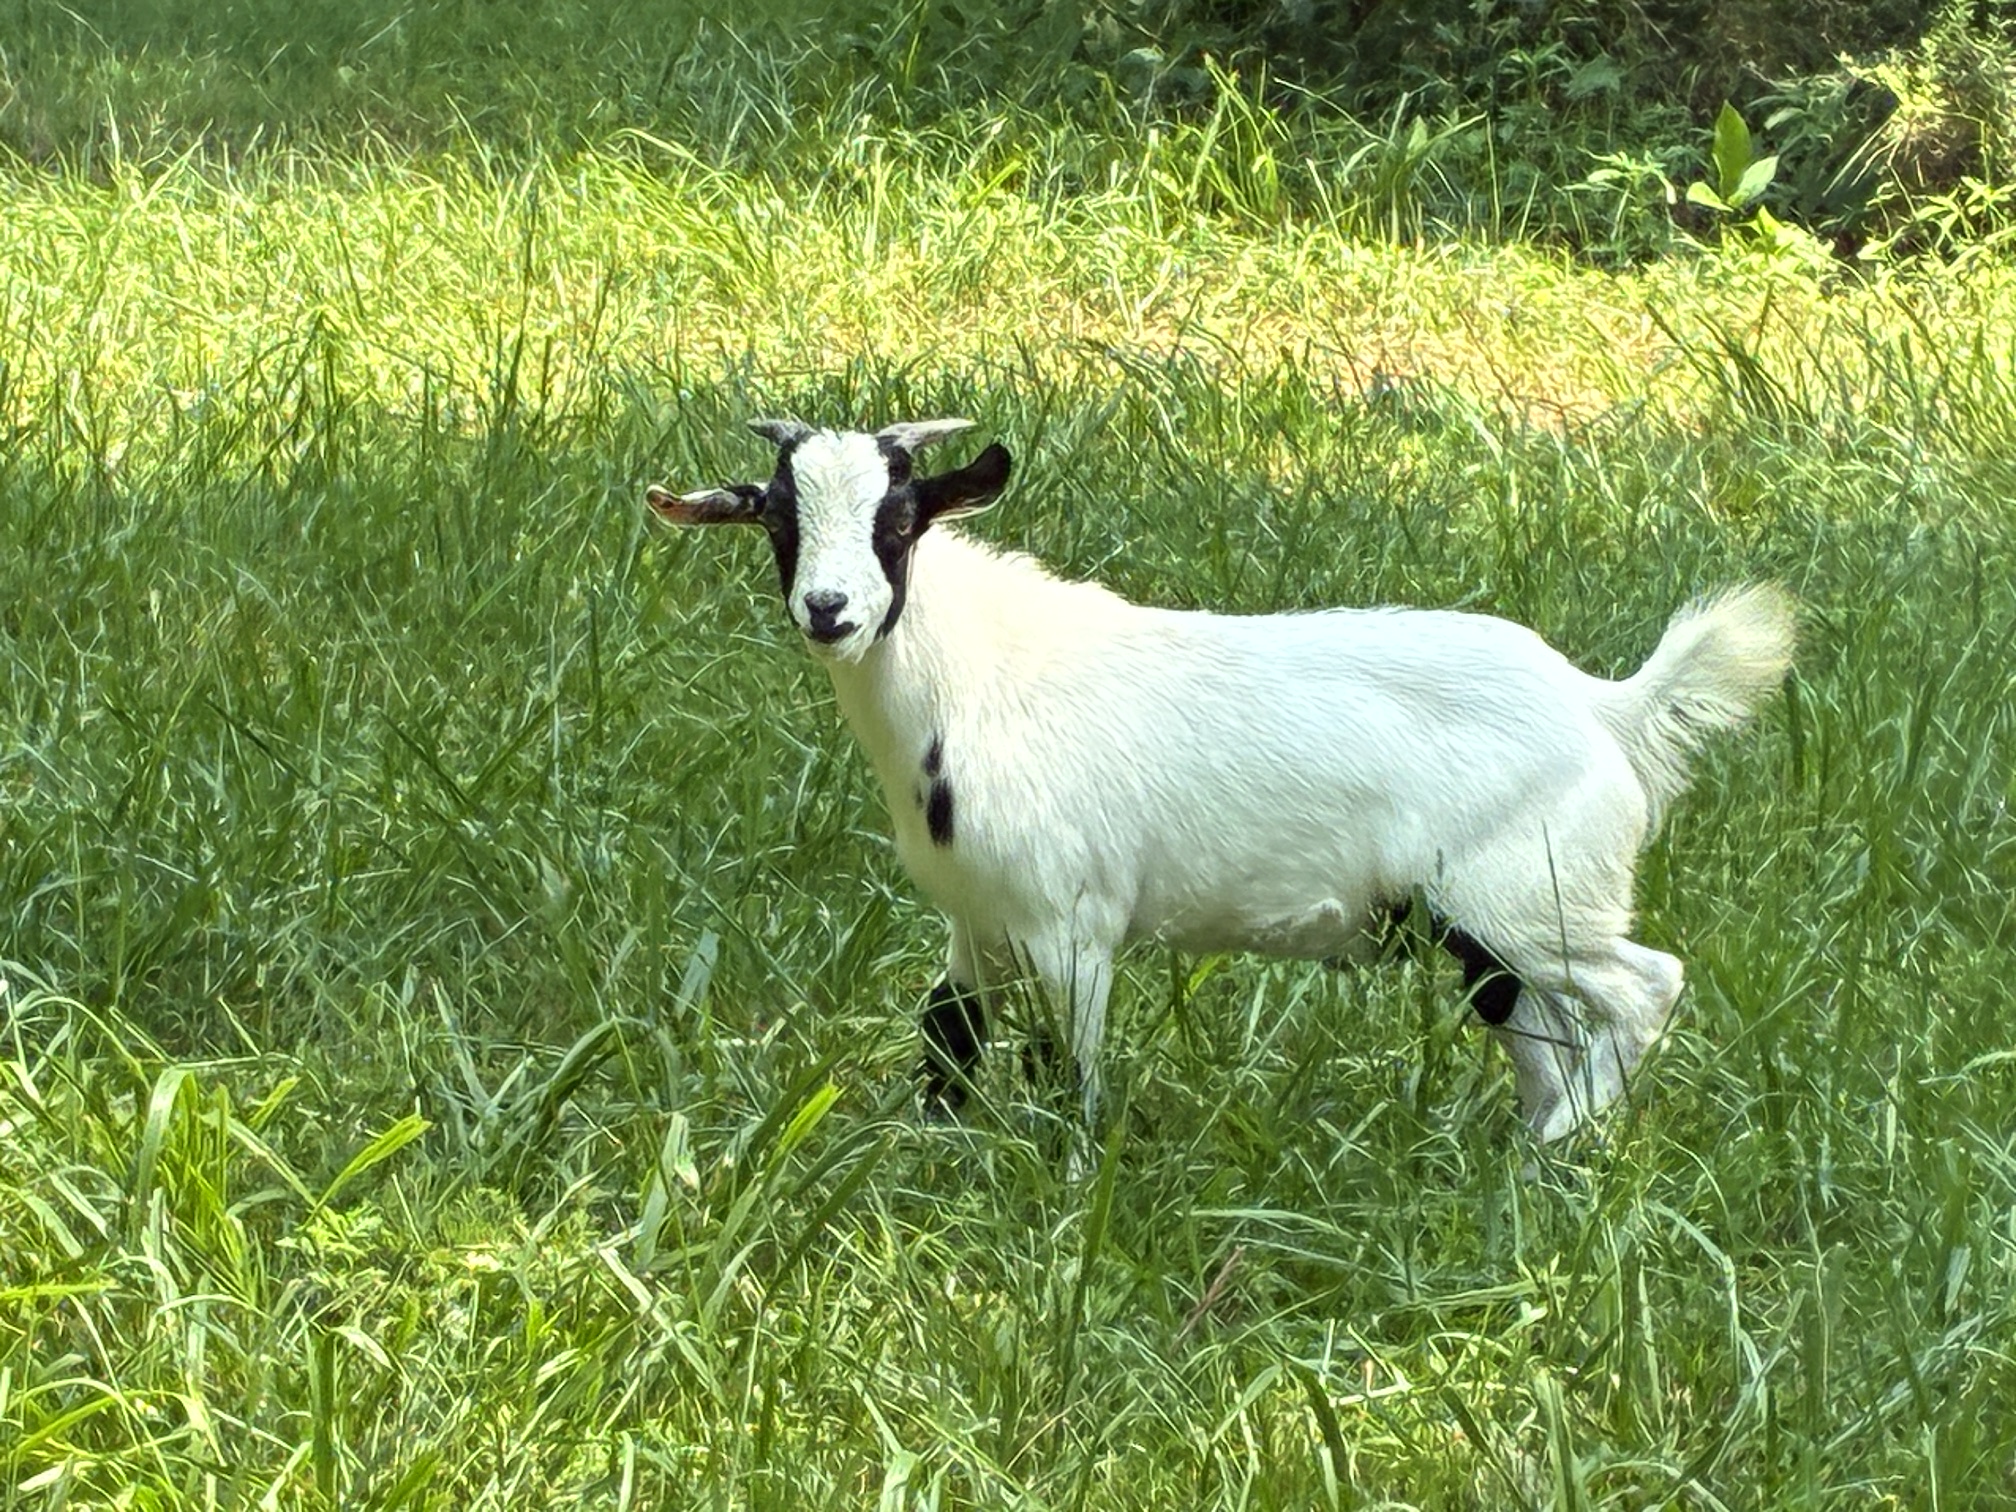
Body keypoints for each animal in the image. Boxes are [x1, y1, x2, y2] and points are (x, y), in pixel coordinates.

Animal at [649, 418, 1794, 1144]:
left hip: (1531, 895)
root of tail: (1609, 708)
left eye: (899, 521)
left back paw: (1559, 1146)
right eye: (779, 519)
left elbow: (1072, 1071)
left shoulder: (1072, 921)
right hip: (1480, 925)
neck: (980, 678)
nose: (829, 610)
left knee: (1644, 986)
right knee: (1545, 1032)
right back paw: (1530, 1166)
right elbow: (946, 1043)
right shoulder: (976, 920)